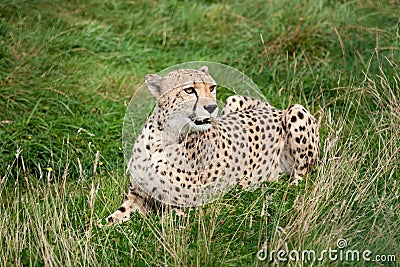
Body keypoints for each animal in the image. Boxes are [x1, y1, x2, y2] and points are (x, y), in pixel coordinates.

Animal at [106, 66, 318, 224]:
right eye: (189, 90)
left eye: (212, 88)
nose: (212, 107)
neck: (163, 137)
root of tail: (273, 107)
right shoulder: (138, 196)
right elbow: (115, 217)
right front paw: (102, 231)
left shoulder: (185, 207)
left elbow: (166, 220)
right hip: (234, 100)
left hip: (296, 110)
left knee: (302, 177)